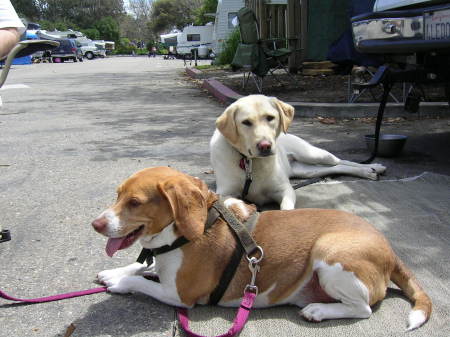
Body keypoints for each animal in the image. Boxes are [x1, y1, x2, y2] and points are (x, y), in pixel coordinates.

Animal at [209, 94, 384, 209]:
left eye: (270, 118)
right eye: (246, 122)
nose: (265, 146)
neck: (250, 162)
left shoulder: (285, 190)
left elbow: (286, 208)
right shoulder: (224, 193)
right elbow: (229, 202)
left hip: (313, 154)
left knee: (341, 161)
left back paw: (373, 168)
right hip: (307, 171)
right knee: (336, 167)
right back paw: (370, 171)